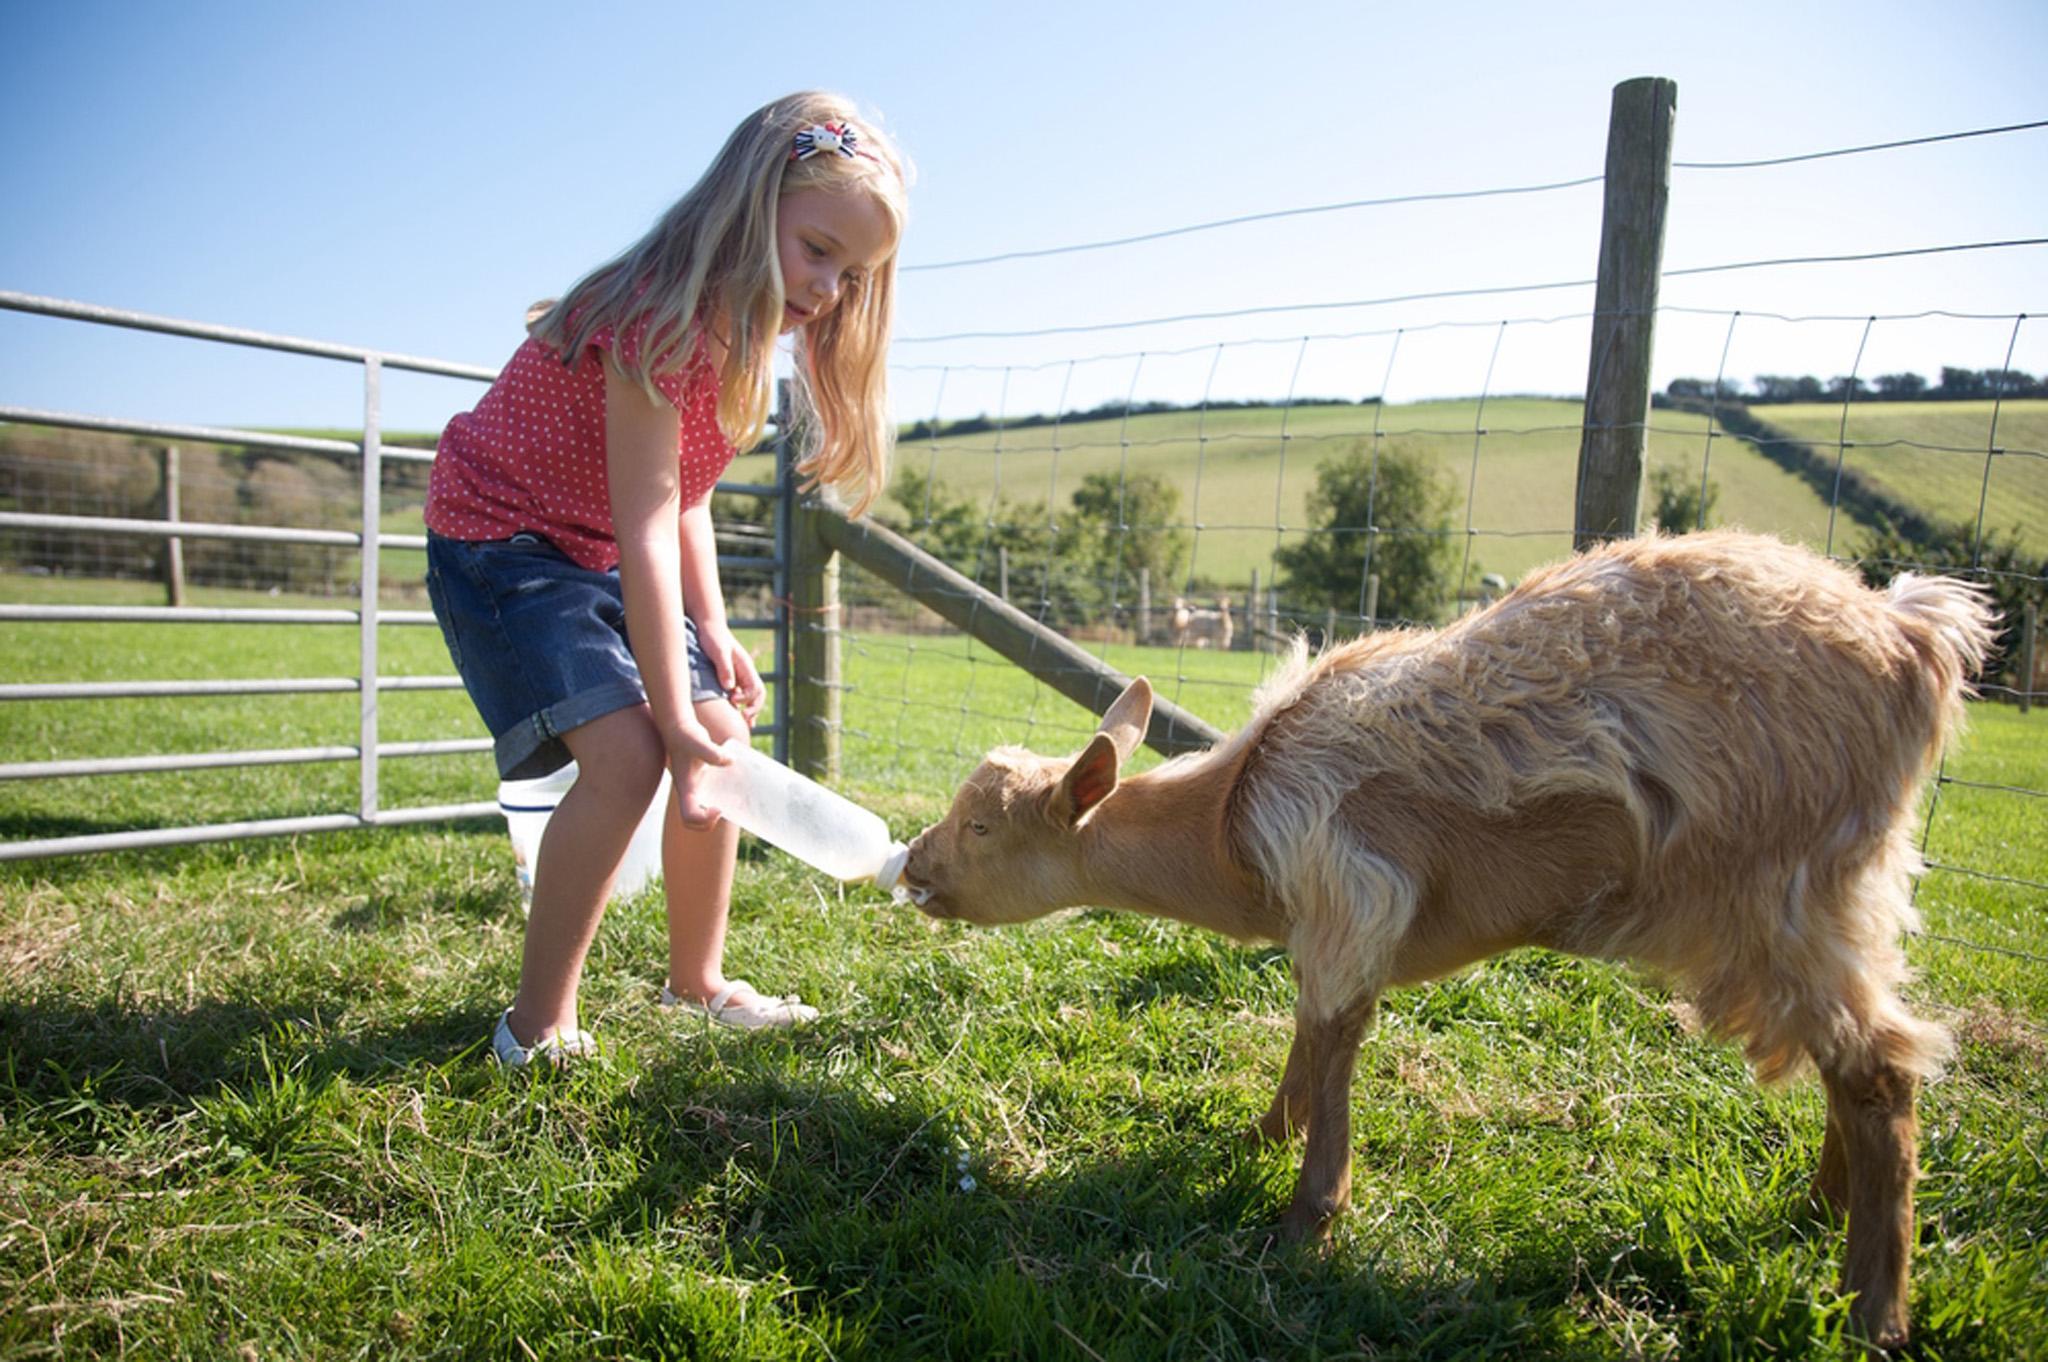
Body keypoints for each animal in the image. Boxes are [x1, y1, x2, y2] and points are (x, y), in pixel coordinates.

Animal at [905, 524, 1990, 1343]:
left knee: (1880, 1068)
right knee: (1850, 1062)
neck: (1231, 823)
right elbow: (1308, 1031)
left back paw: (1870, 1313)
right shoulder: (1328, 917)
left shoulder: (1352, 888)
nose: (912, 866)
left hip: (1788, 885)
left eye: (982, 827)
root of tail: (1911, 635)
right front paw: (1261, 1135)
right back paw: (1821, 1210)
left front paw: (1304, 1220)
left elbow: (1334, 1035)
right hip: (1845, 887)